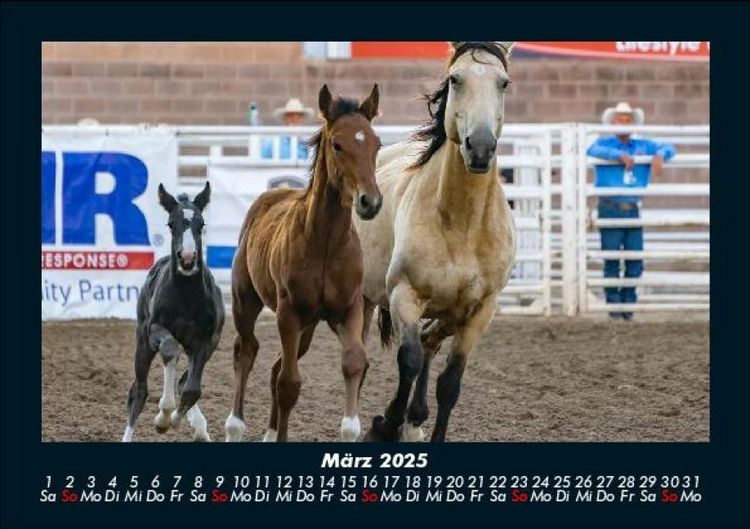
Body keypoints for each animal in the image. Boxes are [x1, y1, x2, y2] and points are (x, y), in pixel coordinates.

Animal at [122, 182, 225, 442]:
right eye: (171, 223)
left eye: (201, 223)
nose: (187, 258)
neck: (186, 296)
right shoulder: (155, 330)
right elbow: (169, 350)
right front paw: (163, 417)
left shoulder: (204, 341)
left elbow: (192, 389)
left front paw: (177, 420)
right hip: (143, 341)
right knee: (139, 390)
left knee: (183, 379)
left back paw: (199, 428)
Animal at [224, 84, 383, 442]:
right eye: (337, 144)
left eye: (376, 143)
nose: (370, 201)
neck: (325, 245)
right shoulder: (289, 313)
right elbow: (289, 384)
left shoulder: (349, 310)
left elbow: (354, 362)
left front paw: (351, 427)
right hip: (246, 301)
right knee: (247, 351)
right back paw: (235, 425)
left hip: (308, 327)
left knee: (274, 365)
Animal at [354, 42, 517, 442]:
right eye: (456, 79)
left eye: (503, 83)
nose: (480, 147)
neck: (463, 225)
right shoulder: (404, 294)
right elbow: (408, 361)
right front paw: (385, 425)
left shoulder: (479, 311)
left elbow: (450, 383)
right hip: (365, 299)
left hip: (448, 313)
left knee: (430, 342)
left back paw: (415, 420)